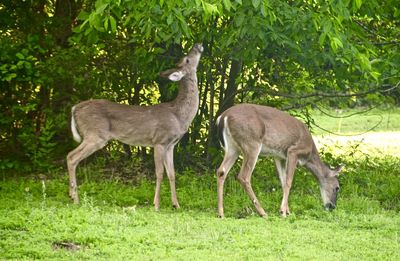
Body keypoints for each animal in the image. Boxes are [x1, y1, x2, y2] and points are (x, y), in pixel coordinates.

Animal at [67, 43, 203, 209]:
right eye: (187, 59)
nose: (198, 45)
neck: (178, 115)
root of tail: (75, 108)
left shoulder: (171, 145)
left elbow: (172, 174)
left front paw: (176, 204)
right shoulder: (159, 141)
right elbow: (159, 173)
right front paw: (156, 205)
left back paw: (72, 196)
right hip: (95, 134)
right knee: (71, 157)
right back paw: (75, 198)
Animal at [214, 102, 342, 216]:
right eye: (337, 188)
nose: (332, 206)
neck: (309, 154)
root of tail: (223, 117)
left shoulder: (279, 156)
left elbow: (283, 181)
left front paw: (287, 210)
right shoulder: (293, 151)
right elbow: (289, 182)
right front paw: (283, 212)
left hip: (232, 148)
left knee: (221, 171)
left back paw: (221, 213)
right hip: (251, 143)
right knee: (243, 176)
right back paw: (262, 213)